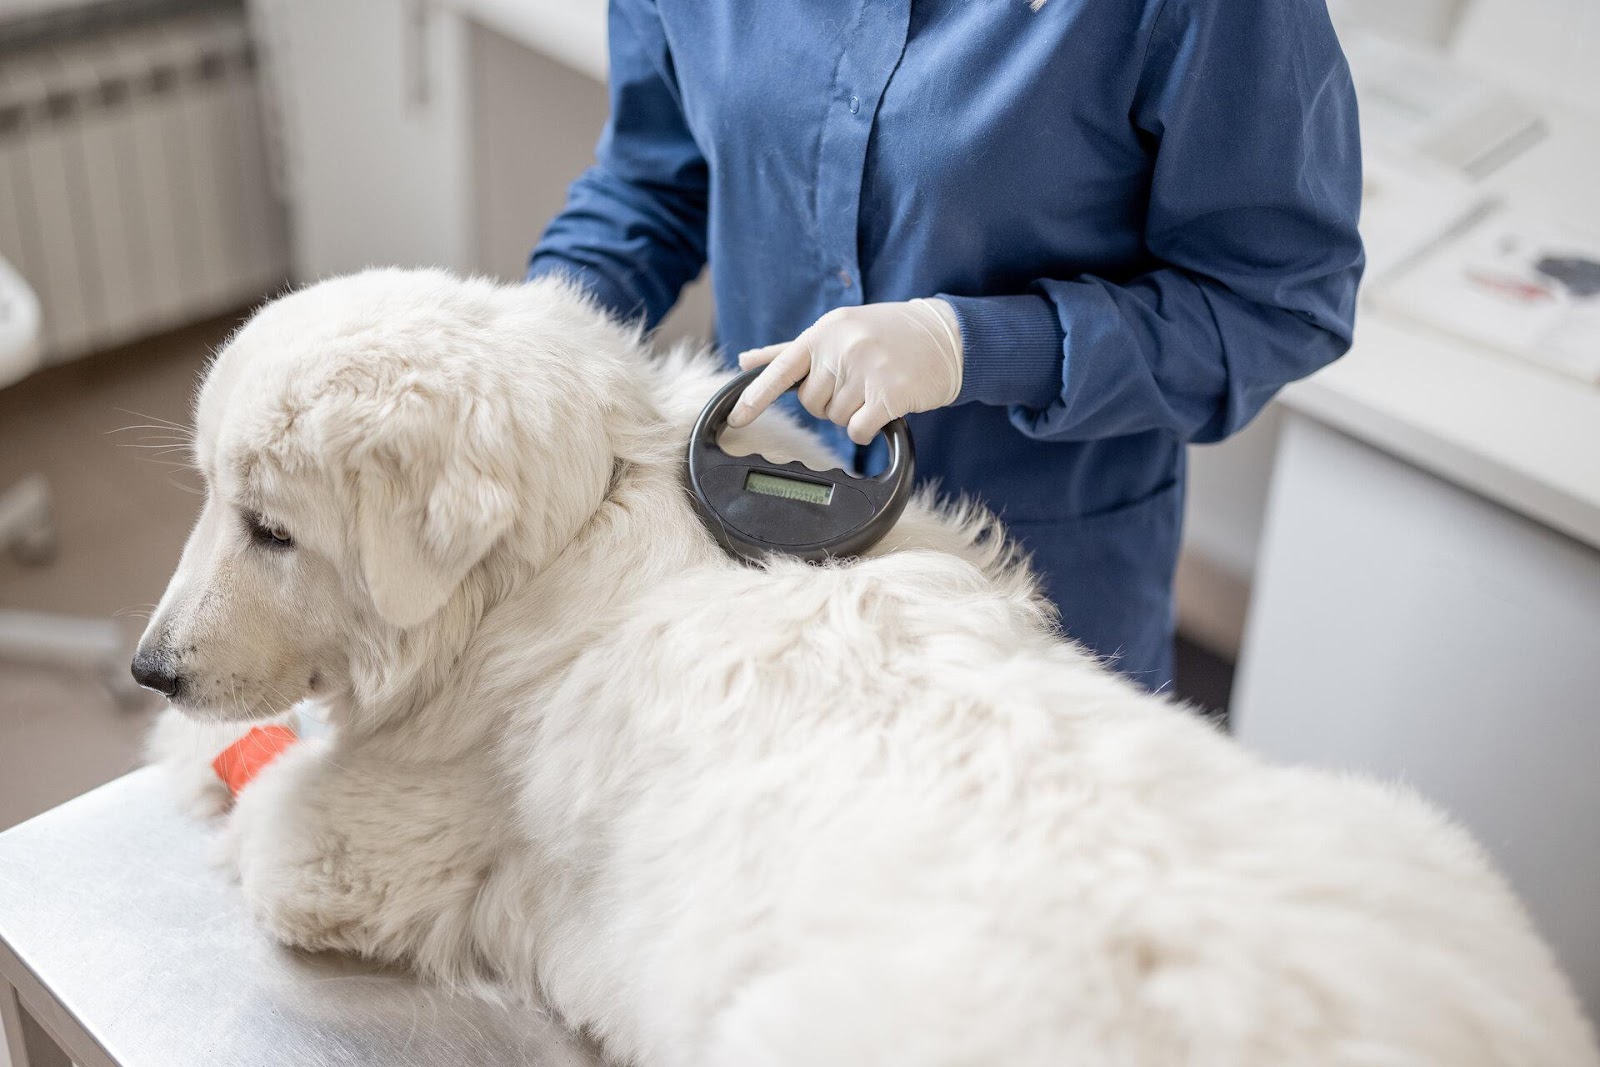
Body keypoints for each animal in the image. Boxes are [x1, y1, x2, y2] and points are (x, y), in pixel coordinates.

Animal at [140, 271, 1600, 1062]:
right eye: (208, 495)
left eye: (270, 529)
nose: (150, 666)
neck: (584, 512)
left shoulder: (354, 848)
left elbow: (273, 794)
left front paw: (196, 746)